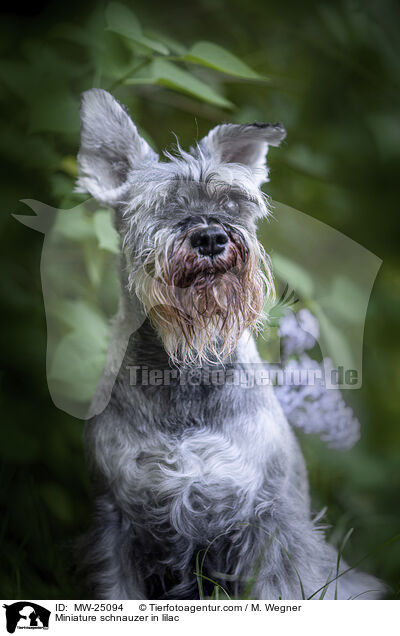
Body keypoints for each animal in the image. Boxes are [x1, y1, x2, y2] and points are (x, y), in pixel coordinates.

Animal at [76, 89, 384, 600]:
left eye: (234, 202)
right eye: (160, 205)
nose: (210, 235)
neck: (186, 372)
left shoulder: (270, 525)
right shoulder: (115, 521)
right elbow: (116, 590)